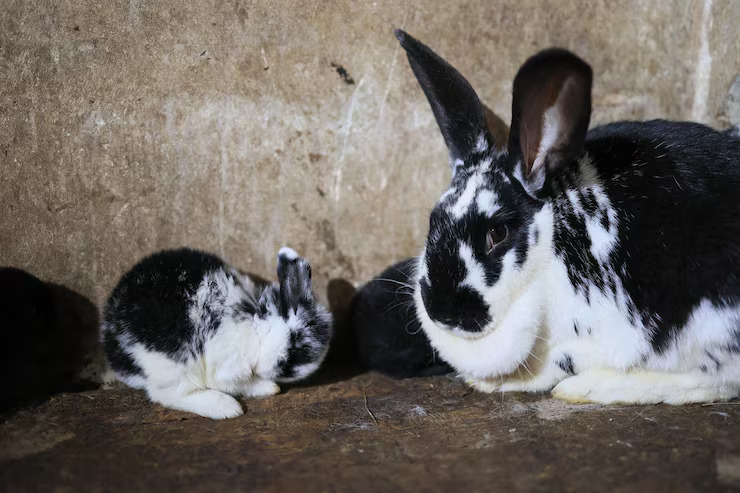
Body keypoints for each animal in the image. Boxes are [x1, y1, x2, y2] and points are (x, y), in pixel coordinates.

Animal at [101, 247, 332, 419]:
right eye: (293, 356)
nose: (273, 374)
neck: (255, 323)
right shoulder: (226, 365)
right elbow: (237, 383)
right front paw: (267, 387)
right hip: (176, 366)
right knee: (167, 395)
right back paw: (227, 408)